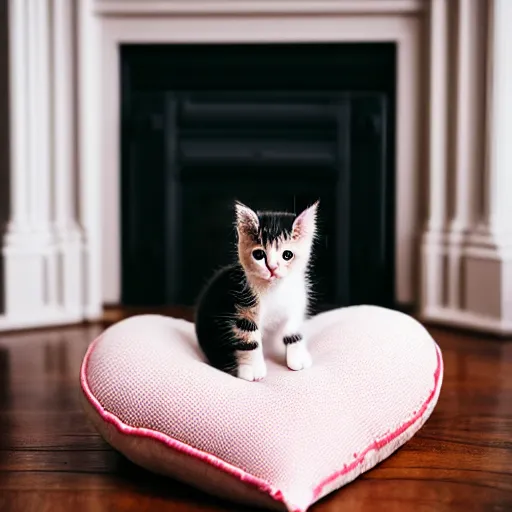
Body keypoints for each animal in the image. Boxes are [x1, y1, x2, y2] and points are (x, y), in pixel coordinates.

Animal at [194, 200, 318, 380]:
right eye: (259, 255)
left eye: (287, 255)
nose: (272, 268)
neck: (274, 288)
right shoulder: (243, 302)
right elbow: (248, 337)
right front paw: (252, 369)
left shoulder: (297, 300)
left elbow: (293, 329)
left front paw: (298, 358)